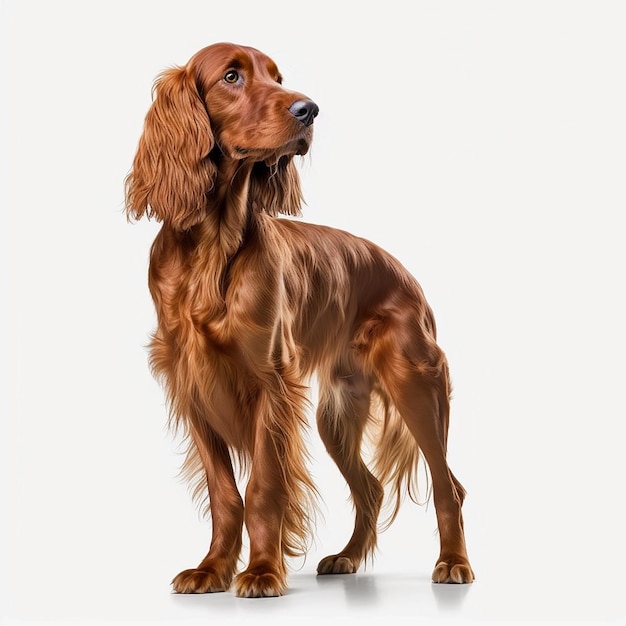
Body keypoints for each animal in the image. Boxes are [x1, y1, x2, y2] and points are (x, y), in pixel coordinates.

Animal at [123, 41, 472, 596]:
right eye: (231, 76)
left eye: (277, 77)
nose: (309, 109)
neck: (214, 247)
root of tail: (406, 276)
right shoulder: (192, 385)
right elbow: (225, 493)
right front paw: (212, 569)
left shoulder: (271, 382)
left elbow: (264, 487)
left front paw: (262, 571)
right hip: (337, 414)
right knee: (371, 488)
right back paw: (347, 557)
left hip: (415, 384)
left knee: (448, 486)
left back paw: (454, 563)